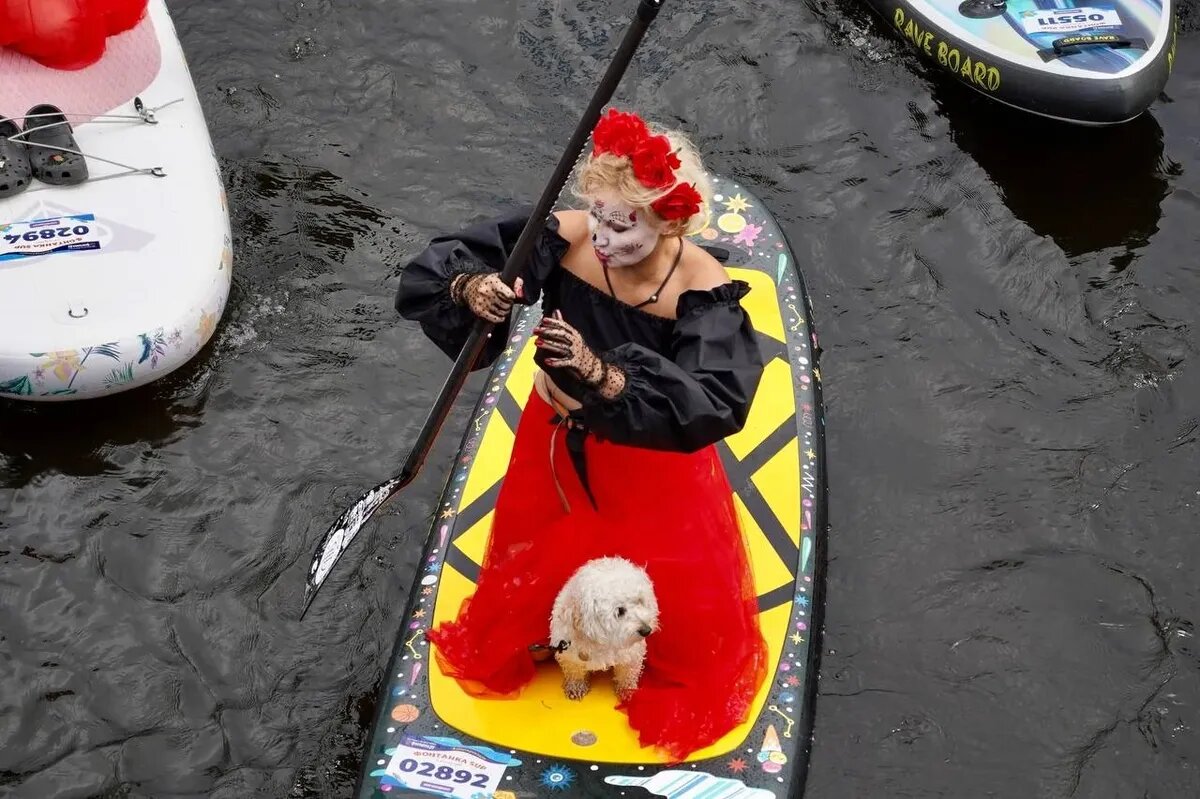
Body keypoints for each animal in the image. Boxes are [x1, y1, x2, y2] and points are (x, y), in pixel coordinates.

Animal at [549, 554, 662, 695]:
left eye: (640, 601)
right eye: (620, 611)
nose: (647, 630)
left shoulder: (632, 654)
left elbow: (627, 673)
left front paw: (627, 690)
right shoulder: (568, 651)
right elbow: (575, 670)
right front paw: (576, 685)